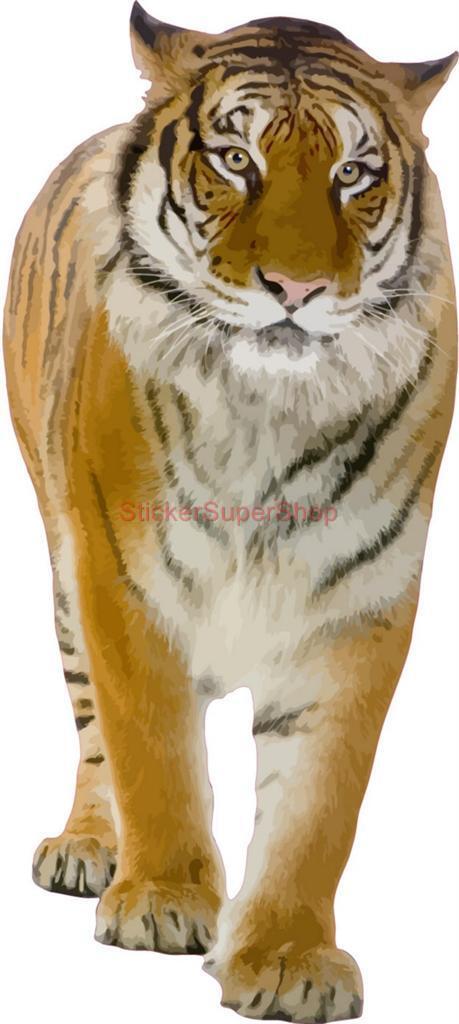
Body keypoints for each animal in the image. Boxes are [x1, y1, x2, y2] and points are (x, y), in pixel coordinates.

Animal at [3, 4, 457, 1021]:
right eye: (236, 159)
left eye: (352, 174)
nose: (295, 290)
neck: (269, 413)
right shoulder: (121, 577)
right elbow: (152, 751)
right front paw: (163, 900)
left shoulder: (358, 606)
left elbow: (317, 807)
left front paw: (287, 956)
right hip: (60, 561)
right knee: (91, 727)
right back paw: (89, 848)